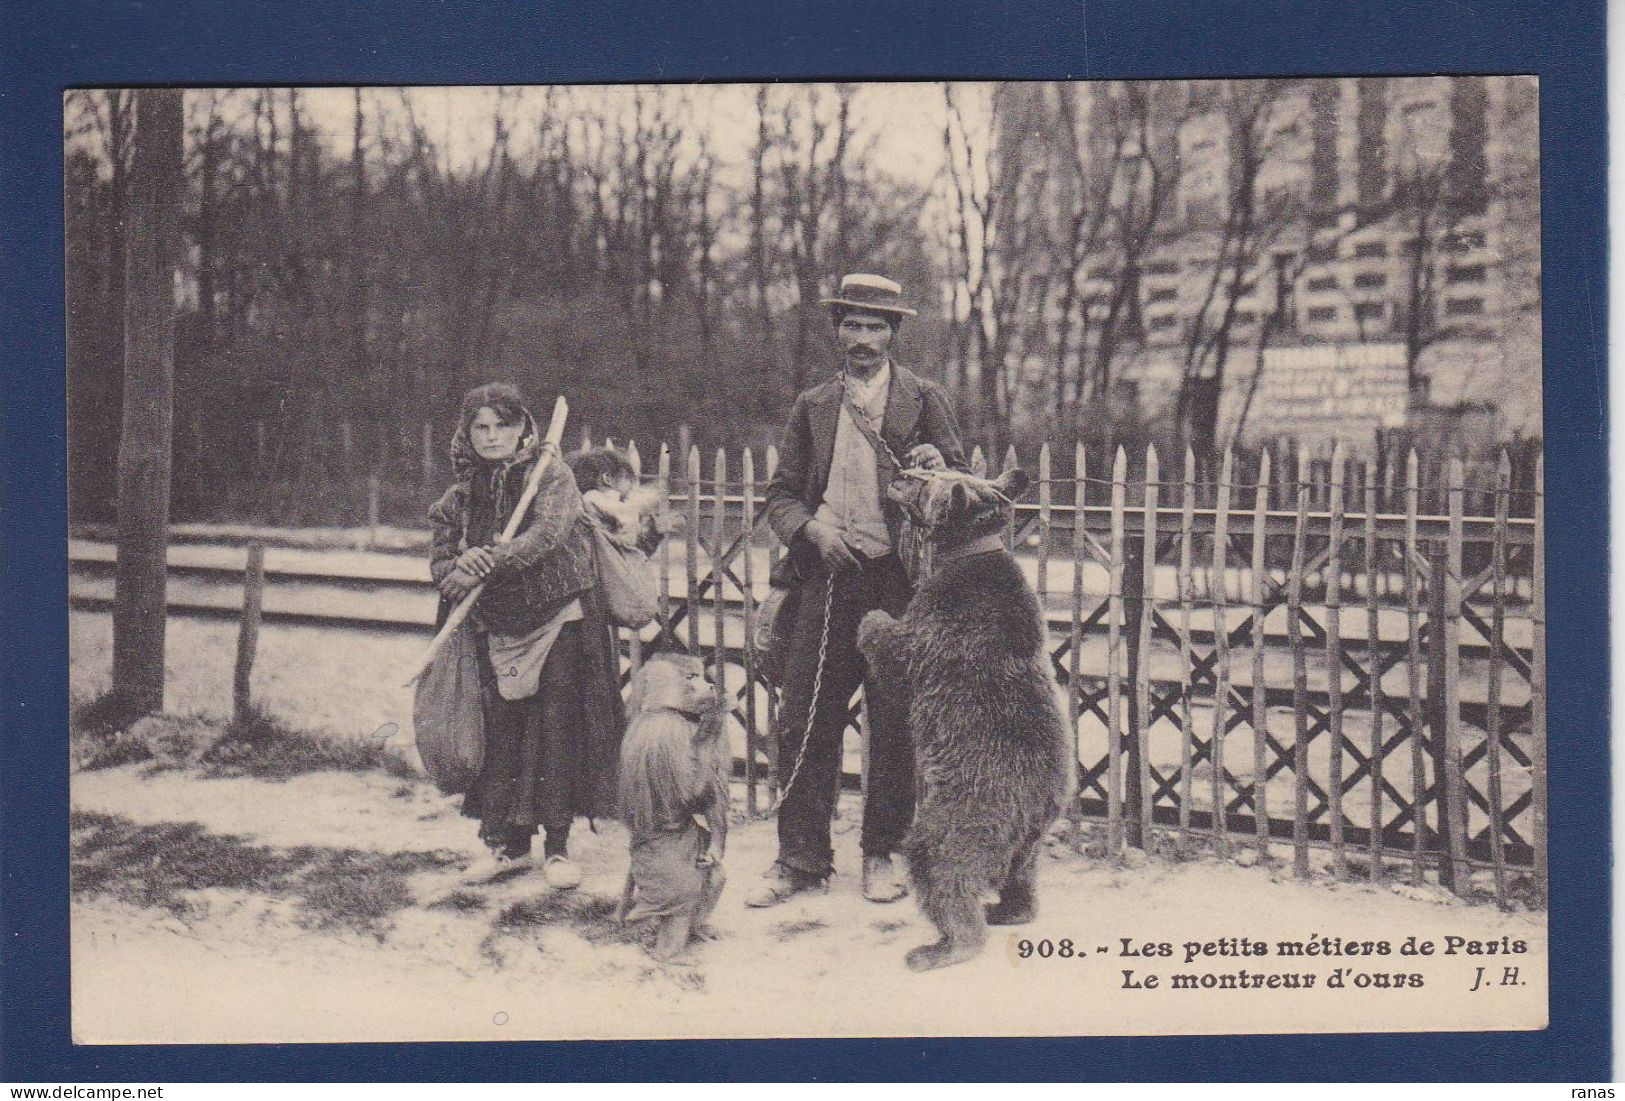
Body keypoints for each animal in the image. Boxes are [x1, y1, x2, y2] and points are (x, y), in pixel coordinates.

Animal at [858, 464, 1072, 974]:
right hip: (1031, 838)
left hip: (958, 819)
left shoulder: (938, 627)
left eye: (924, 478)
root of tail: (1031, 807)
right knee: (1021, 875)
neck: (966, 550)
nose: (900, 471)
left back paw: (941, 946)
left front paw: (871, 618)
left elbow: (897, 649)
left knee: (943, 875)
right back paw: (1010, 909)